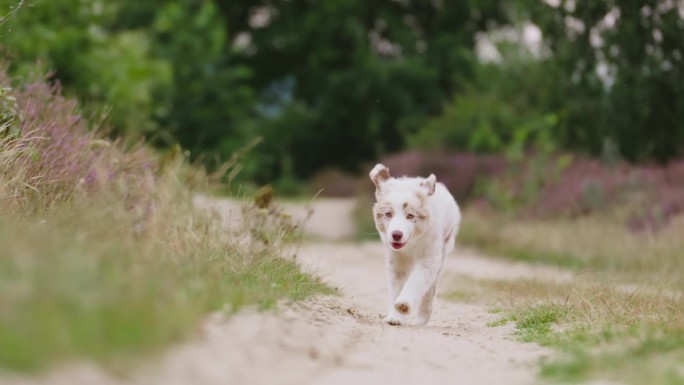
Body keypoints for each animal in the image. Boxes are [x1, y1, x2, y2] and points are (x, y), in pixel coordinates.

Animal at [368, 164, 460, 326]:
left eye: (410, 216)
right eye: (388, 214)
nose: (396, 234)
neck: (411, 244)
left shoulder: (429, 257)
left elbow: (417, 281)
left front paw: (404, 305)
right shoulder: (396, 260)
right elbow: (396, 287)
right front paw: (395, 317)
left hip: (443, 250)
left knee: (430, 288)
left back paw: (422, 319)